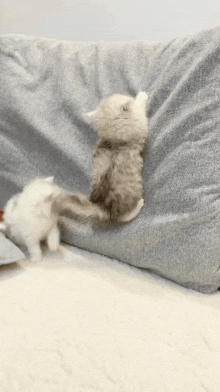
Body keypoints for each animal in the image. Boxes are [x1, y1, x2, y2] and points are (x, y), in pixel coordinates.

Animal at [61, 90, 149, 222]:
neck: (115, 141)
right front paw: (142, 95)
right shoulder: (141, 124)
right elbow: (140, 106)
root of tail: (101, 206)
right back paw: (139, 205)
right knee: (122, 218)